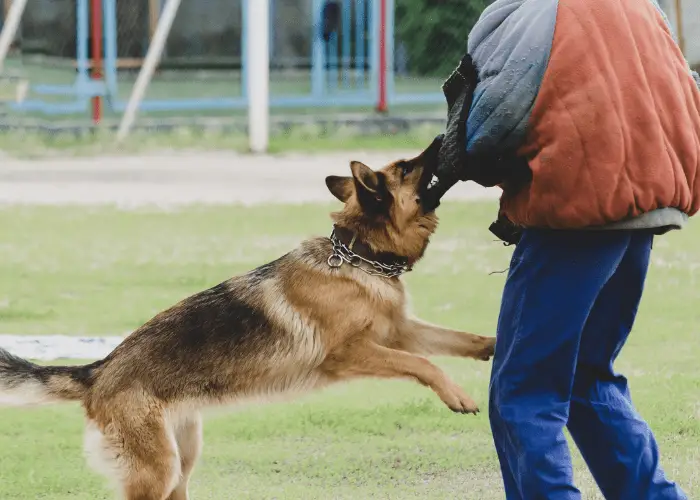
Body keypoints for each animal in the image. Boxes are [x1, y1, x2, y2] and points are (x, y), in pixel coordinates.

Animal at [0, 138, 492, 500]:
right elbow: (423, 363)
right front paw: (458, 395)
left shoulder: (400, 331)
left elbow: (458, 339)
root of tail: (98, 371)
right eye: (408, 167)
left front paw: (491, 346)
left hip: (181, 462)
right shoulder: (352, 353)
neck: (357, 255)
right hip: (157, 472)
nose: (441, 139)